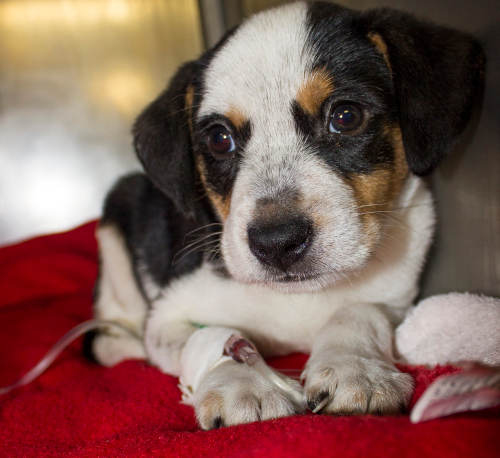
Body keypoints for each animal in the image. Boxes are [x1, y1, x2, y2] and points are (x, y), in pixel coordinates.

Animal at [86, 1, 484, 430]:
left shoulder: (397, 299)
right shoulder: (167, 315)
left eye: (346, 116)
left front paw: (354, 368)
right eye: (219, 139)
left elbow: (359, 311)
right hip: (117, 219)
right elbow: (211, 334)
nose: (277, 243)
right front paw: (242, 383)